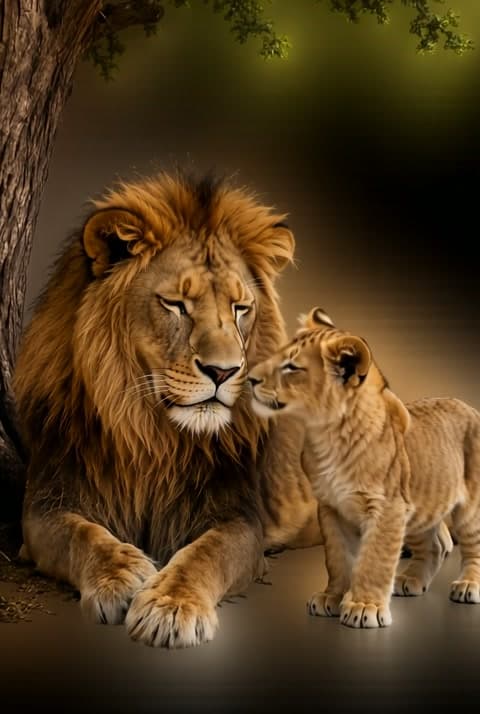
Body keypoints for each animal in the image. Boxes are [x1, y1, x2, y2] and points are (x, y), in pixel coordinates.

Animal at [13, 172, 321, 648]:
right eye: (176, 304)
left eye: (240, 308)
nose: (223, 371)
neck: (150, 432)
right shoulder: (45, 506)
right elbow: (80, 536)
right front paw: (122, 576)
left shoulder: (239, 518)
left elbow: (205, 554)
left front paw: (171, 607)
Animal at [248, 306, 480, 629]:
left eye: (292, 367)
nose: (249, 379)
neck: (326, 435)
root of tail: (468, 406)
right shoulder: (331, 507)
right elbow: (337, 558)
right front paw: (331, 598)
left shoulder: (387, 509)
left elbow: (374, 559)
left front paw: (363, 607)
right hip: (421, 504)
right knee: (437, 545)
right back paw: (410, 581)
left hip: (468, 507)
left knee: (472, 545)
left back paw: (469, 585)